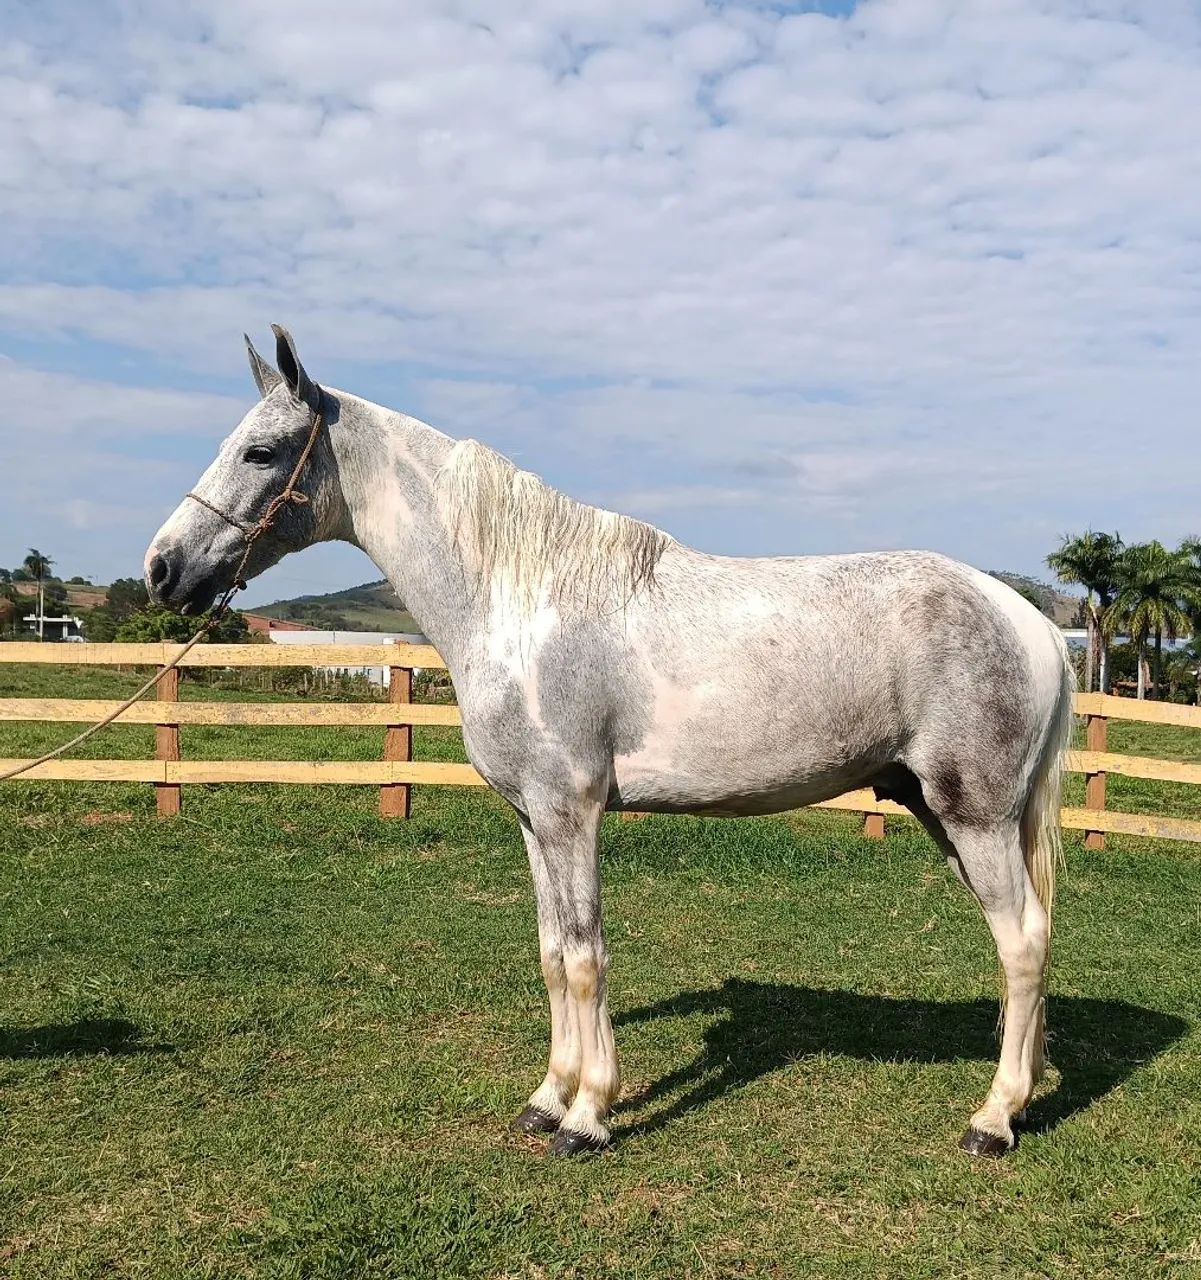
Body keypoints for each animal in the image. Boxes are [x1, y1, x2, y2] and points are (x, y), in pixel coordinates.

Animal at [145, 326, 1074, 1159]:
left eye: (261, 452)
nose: (162, 568)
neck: (520, 600)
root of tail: (1030, 622)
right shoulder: (532, 819)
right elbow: (554, 954)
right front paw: (545, 1099)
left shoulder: (572, 812)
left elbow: (589, 958)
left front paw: (589, 1115)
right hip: (940, 814)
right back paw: (1021, 1098)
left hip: (976, 818)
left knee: (1022, 942)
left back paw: (992, 1120)